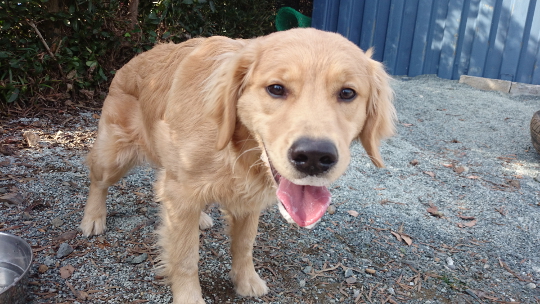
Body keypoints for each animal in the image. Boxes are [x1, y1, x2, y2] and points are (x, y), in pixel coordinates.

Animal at [79, 27, 392, 302]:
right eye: (276, 89)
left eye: (347, 93)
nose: (314, 157)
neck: (236, 148)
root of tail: (136, 59)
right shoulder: (182, 192)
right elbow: (185, 257)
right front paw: (189, 297)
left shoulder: (248, 199)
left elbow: (244, 245)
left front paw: (246, 281)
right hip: (114, 156)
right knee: (98, 180)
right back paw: (93, 218)